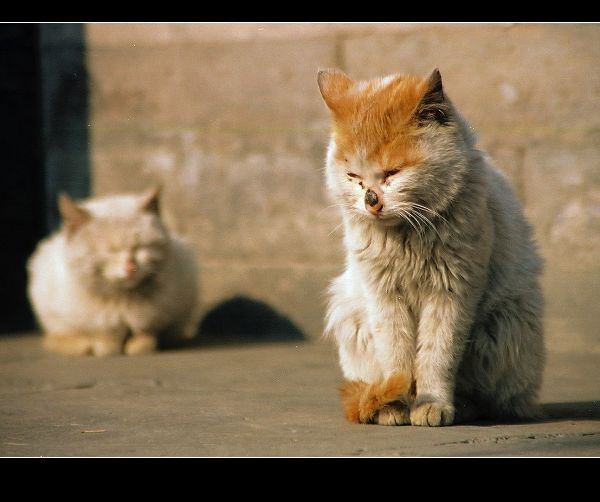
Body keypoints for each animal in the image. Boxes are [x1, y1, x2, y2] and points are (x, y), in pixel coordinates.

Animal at [27, 188, 199, 356]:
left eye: (140, 247)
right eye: (110, 251)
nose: (131, 266)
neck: (122, 299)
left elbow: (147, 333)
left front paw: (140, 344)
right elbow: (102, 334)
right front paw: (105, 346)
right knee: (54, 338)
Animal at [318, 68, 548, 426]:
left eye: (392, 172)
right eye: (354, 176)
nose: (371, 200)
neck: (407, 236)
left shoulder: (451, 293)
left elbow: (437, 355)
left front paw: (432, 405)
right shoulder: (383, 295)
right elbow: (395, 356)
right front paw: (393, 405)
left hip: (507, 324)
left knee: (491, 397)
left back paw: (465, 407)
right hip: (350, 314)